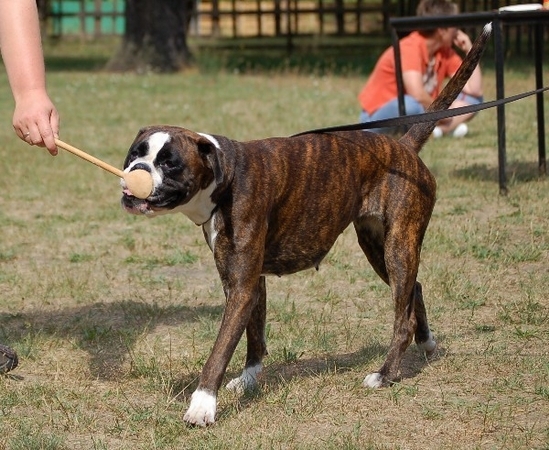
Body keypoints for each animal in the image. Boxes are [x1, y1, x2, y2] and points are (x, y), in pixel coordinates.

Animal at [121, 24, 491, 426]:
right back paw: (425, 341)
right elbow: (254, 334)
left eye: (169, 163)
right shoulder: (248, 282)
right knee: (414, 291)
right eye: (134, 154)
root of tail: (404, 146)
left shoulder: (241, 287)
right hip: (377, 246)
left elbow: (220, 349)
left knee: (401, 317)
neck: (224, 178)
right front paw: (248, 379)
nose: (135, 171)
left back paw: (385, 373)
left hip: (398, 246)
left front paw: (203, 404)